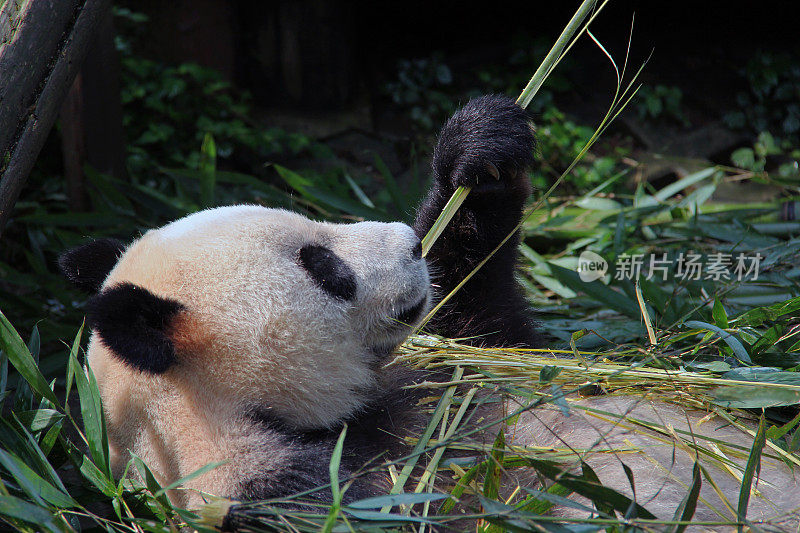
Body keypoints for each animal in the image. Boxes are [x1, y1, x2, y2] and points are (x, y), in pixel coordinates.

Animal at [61, 95, 800, 528]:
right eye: (323, 266)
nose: (408, 244)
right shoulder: (287, 496)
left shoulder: (450, 357)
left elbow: (476, 303)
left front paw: (482, 146)